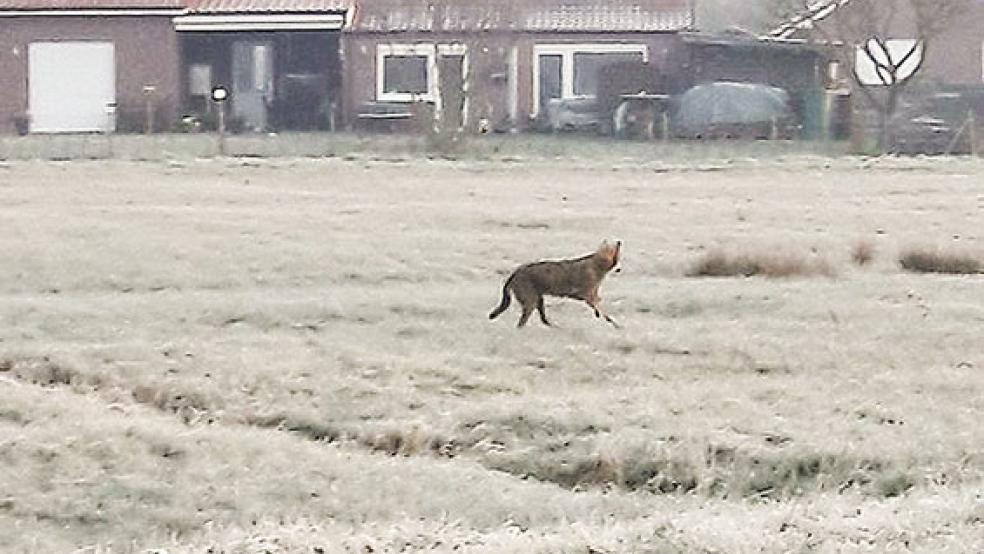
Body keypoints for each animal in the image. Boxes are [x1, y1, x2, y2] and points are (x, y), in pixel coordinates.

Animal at [489, 241, 621, 328]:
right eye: (616, 255)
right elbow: (601, 309)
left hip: (539, 300)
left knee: (543, 320)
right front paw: (612, 322)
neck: (597, 265)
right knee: (522, 322)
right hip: (531, 302)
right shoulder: (585, 295)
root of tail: (515, 273)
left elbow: (598, 305)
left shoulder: (590, 296)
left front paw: (601, 316)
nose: (619, 242)